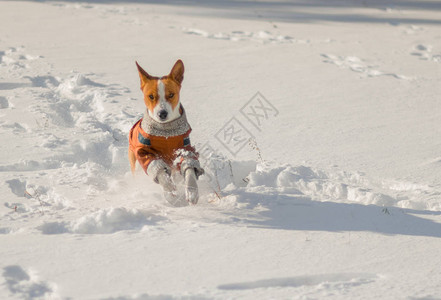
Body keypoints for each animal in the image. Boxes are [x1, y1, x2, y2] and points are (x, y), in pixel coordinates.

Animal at [127, 59, 203, 205]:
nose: (162, 113)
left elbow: (189, 168)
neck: (166, 133)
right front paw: (169, 188)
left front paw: (192, 192)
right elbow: (159, 170)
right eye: (151, 96)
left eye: (171, 95)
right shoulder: (144, 152)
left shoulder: (185, 149)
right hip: (136, 164)